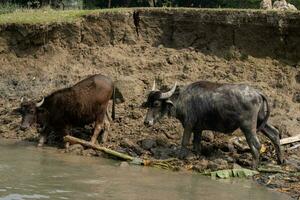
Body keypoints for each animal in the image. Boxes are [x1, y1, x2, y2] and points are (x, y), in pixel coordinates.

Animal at [143, 80, 284, 168]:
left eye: (156, 104)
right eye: (148, 103)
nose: (146, 122)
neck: (182, 100)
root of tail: (258, 93)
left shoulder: (188, 125)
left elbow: (184, 142)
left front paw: (180, 157)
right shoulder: (198, 129)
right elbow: (196, 144)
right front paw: (196, 156)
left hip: (248, 126)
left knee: (256, 144)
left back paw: (254, 167)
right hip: (261, 121)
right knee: (274, 134)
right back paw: (280, 160)